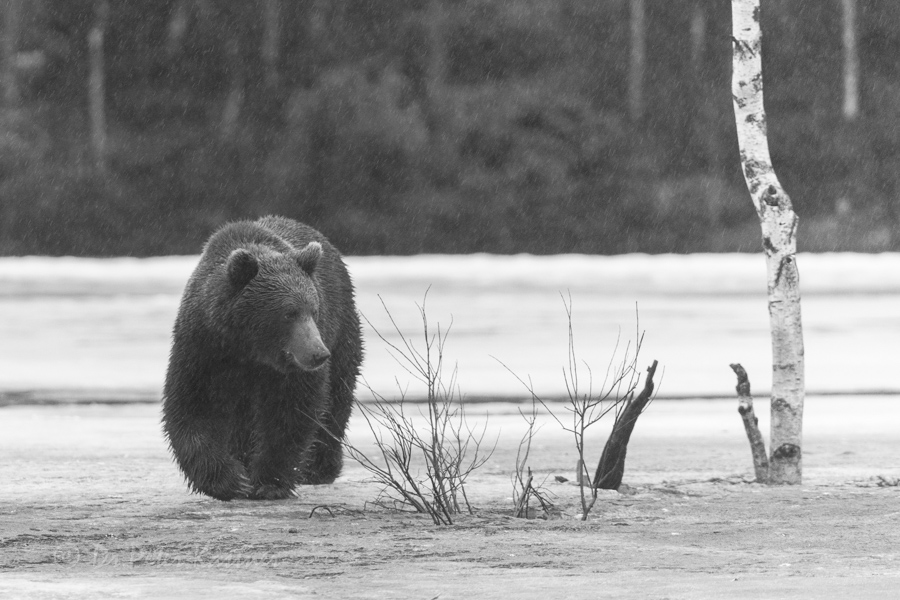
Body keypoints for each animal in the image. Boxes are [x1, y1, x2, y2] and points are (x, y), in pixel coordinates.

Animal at [162, 218, 362, 500]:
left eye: (313, 310)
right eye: (289, 313)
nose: (318, 353)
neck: (250, 349)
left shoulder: (289, 370)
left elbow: (291, 412)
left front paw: (268, 482)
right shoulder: (203, 348)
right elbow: (191, 406)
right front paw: (231, 480)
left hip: (343, 331)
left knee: (337, 398)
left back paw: (318, 469)